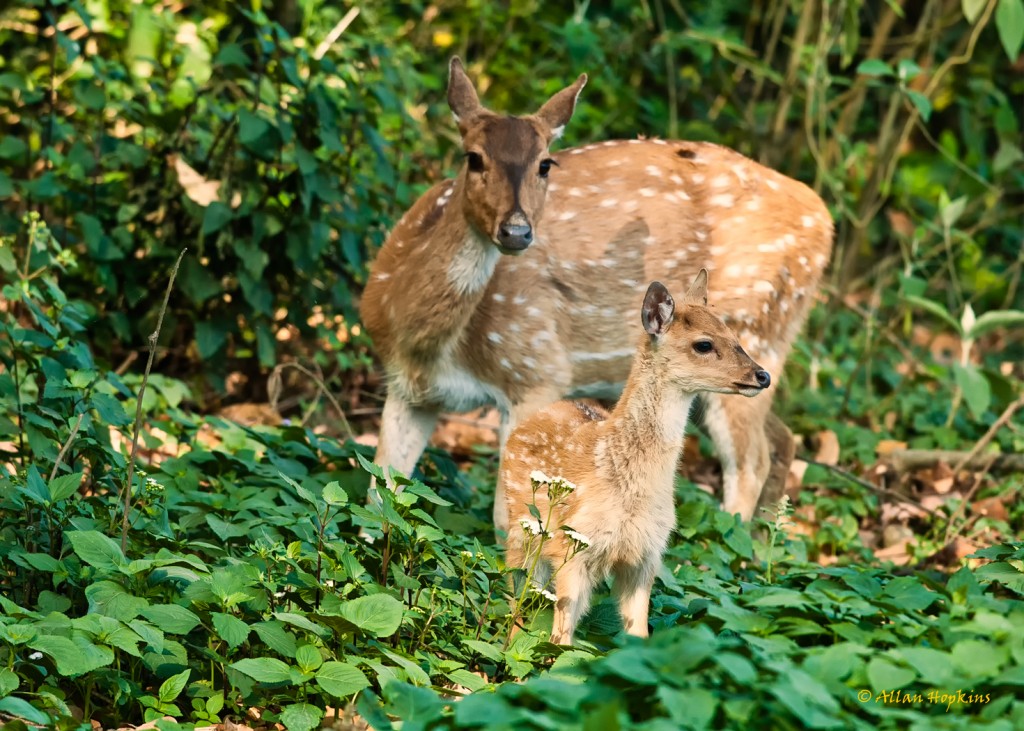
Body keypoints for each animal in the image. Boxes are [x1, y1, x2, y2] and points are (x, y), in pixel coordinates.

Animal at [360, 54, 831, 528]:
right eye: (473, 158)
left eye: (545, 164)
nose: (516, 231)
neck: (429, 344)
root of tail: (825, 218)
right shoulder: (408, 390)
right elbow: (378, 496)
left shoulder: (538, 371)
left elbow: (509, 516)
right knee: (782, 439)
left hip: (757, 334)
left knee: (751, 461)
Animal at [499, 270, 765, 638]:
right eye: (704, 344)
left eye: (735, 336)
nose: (762, 375)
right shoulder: (573, 544)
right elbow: (560, 637)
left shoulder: (647, 556)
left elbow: (638, 634)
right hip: (522, 531)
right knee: (517, 599)